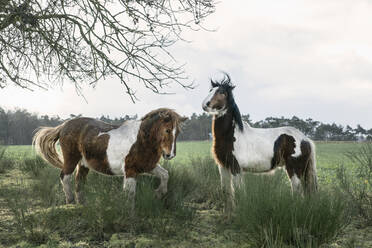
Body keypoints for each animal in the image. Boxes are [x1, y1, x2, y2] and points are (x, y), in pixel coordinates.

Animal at [33, 107, 186, 206]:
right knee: (64, 177)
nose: (170, 155)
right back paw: (70, 202)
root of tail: (64, 125)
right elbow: (130, 194)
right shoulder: (130, 171)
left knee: (79, 181)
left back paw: (82, 205)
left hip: (83, 164)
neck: (141, 140)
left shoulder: (148, 166)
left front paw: (159, 193)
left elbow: (165, 175)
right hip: (71, 159)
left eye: (177, 132)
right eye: (167, 130)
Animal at [202, 72, 318, 212]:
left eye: (222, 92)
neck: (230, 135)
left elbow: (239, 192)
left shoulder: (236, 168)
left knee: (297, 191)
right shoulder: (223, 167)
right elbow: (227, 192)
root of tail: (306, 139)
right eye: (210, 90)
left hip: (294, 170)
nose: (205, 104)